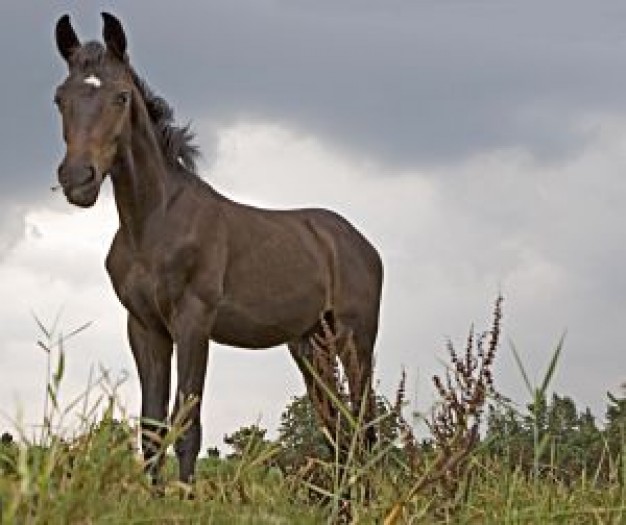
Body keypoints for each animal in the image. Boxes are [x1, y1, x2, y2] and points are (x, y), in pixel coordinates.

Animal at [52, 12, 380, 486]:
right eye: (60, 97)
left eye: (121, 96)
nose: (78, 178)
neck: (152, 225)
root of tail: (361, 244)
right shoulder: (145, 328)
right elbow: (152, 430)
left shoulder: (194, 322)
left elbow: (187, 426)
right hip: (310, 346)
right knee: (337, 430)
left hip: (355, 339)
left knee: (364, 427)